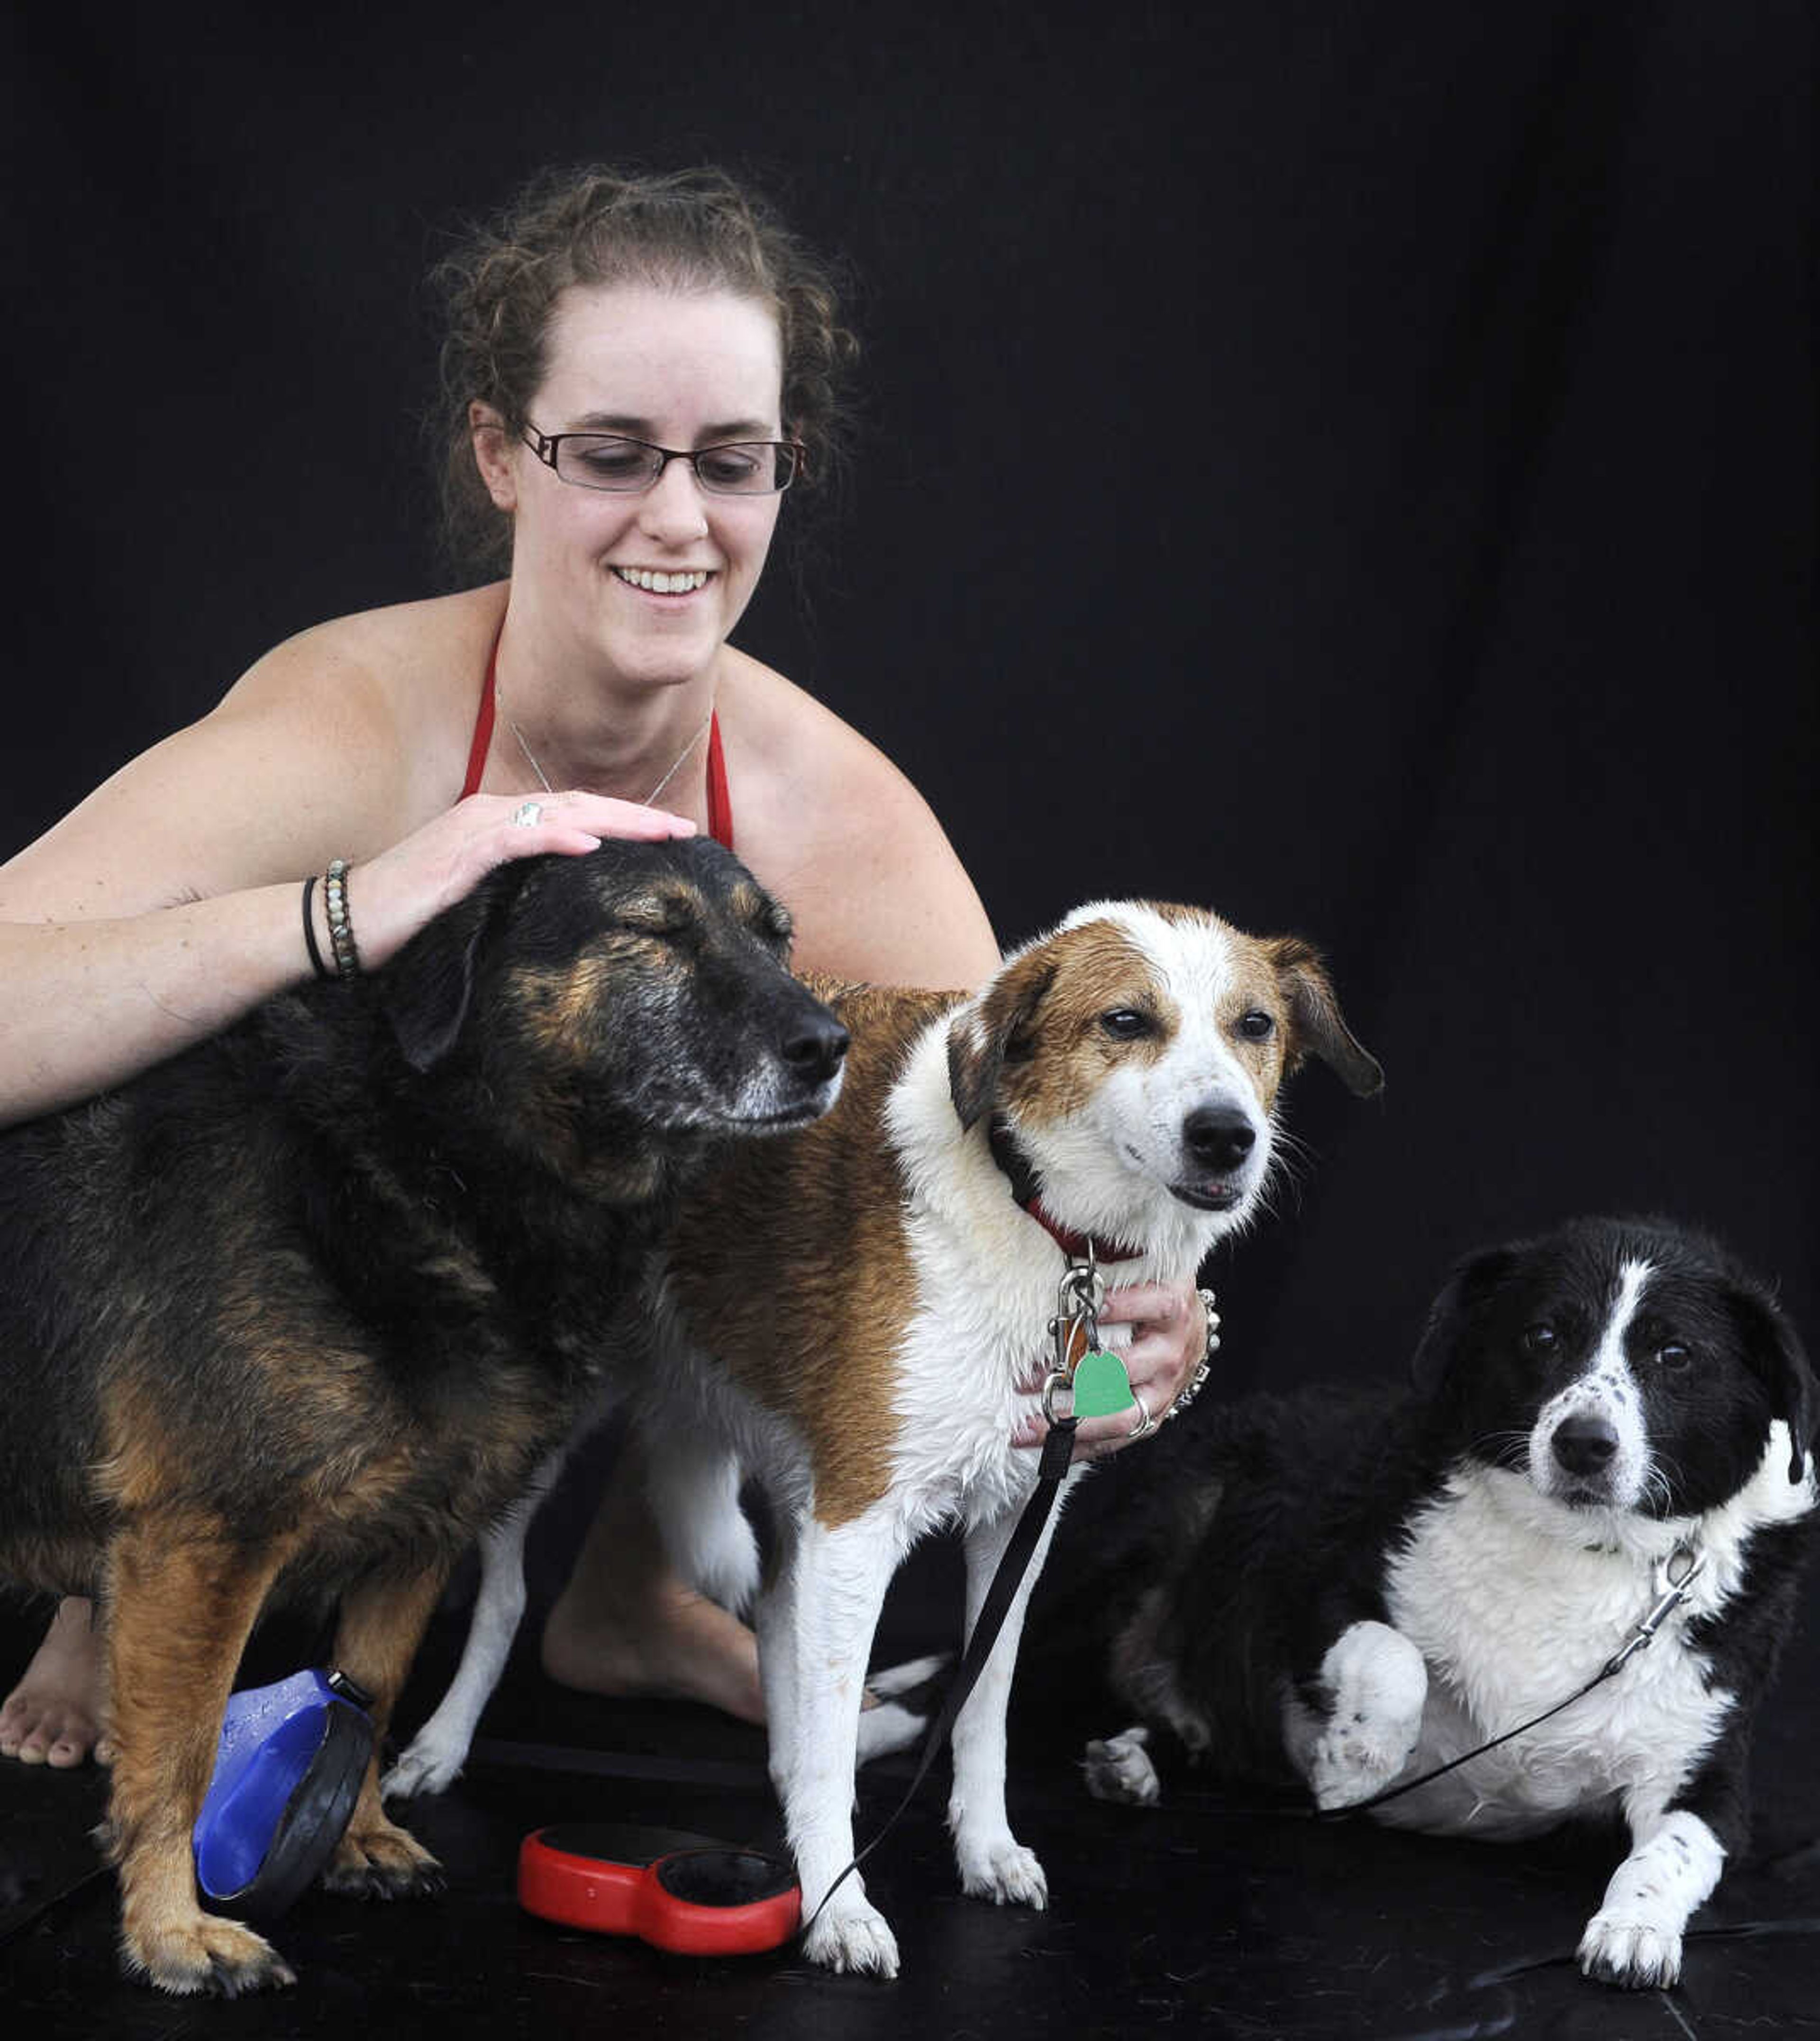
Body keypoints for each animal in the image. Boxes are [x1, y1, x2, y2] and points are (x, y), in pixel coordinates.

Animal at [0, 836, 845, 2000]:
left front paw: (353, 1837)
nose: (828, 1045)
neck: (432, 1155)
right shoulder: (202, 1543)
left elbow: (373, 1694)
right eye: (653, 929)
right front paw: (170, 1931)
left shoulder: (422, 1528)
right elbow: (178, 1754)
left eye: (777, 938)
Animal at [383, 898, 1379, 1976]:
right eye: (1125, 1021)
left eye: (1255, 1026)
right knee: (511, 1592)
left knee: (780, 1615)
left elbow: (982, 1703)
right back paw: (437, 1746)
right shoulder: (859, 1519)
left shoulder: (1011, 1522)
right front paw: (835, 1902)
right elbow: (830, 1746)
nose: (1227, 1136)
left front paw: (984, 1847)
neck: (1042, 1219)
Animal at [1077, 1216, 1811, 1984]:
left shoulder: (1703, 1768)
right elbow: (1393, 1655)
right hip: (1168, 1534)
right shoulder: (1311, 1589)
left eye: (1675, 1354)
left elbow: (1677, 1850)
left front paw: (1636, 1927)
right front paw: (1357, 1758)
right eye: (1543, 1335)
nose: (1584, 1443)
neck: (1580, 1547)